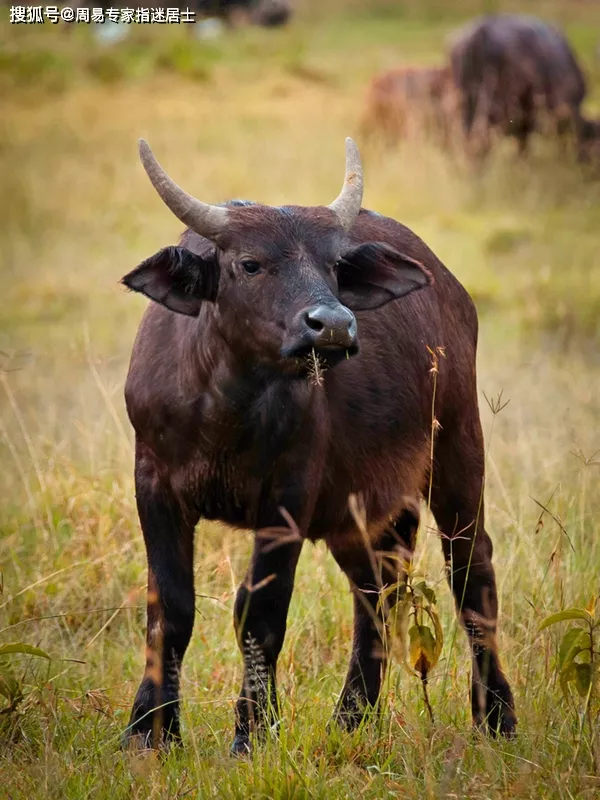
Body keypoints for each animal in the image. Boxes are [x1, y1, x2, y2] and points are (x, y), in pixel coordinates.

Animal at [120, 134, 516, 752]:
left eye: (332, 265)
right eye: (249, 263)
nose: (332, 325)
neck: (225, 410)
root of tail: (454, 293)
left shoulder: (288, 497)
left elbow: (259, 611)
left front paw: (252, 731)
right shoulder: (153, 484)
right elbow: (171, 607)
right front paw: (150, 731)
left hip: (458, 451)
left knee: (471, 573)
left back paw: (496, 715)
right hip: (363, 508)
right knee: (377, 590)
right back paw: (352, 715)